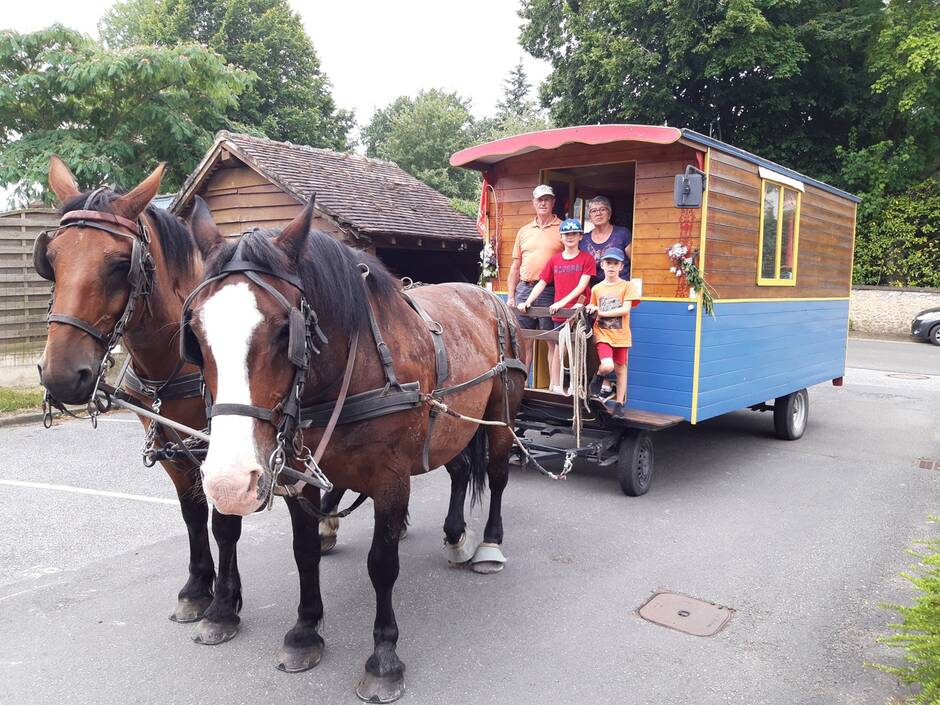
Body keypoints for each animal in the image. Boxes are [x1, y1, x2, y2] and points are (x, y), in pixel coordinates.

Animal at [34, 158, 316, 656]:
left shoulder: (219, 448)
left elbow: (224, 523)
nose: (62, 376)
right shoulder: (173, 448)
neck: (173, 362)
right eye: (52, 260)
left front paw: (223, 606)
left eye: (119, 264)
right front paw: (197, 589)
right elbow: (192, 514)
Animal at [183, 197, 520, 700]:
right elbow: (304, 551)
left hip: (499, 413)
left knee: (496, 475)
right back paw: (456, 534)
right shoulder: (298, 475)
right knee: (460, 470)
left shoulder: (391, 477)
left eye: (284, 331)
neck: (354, 367)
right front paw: (305, 632)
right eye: (196, 336)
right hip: (452, 423)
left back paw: (489, 546)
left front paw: (384, 658)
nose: (228, 483)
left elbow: (382, 564)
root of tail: (486, 295)